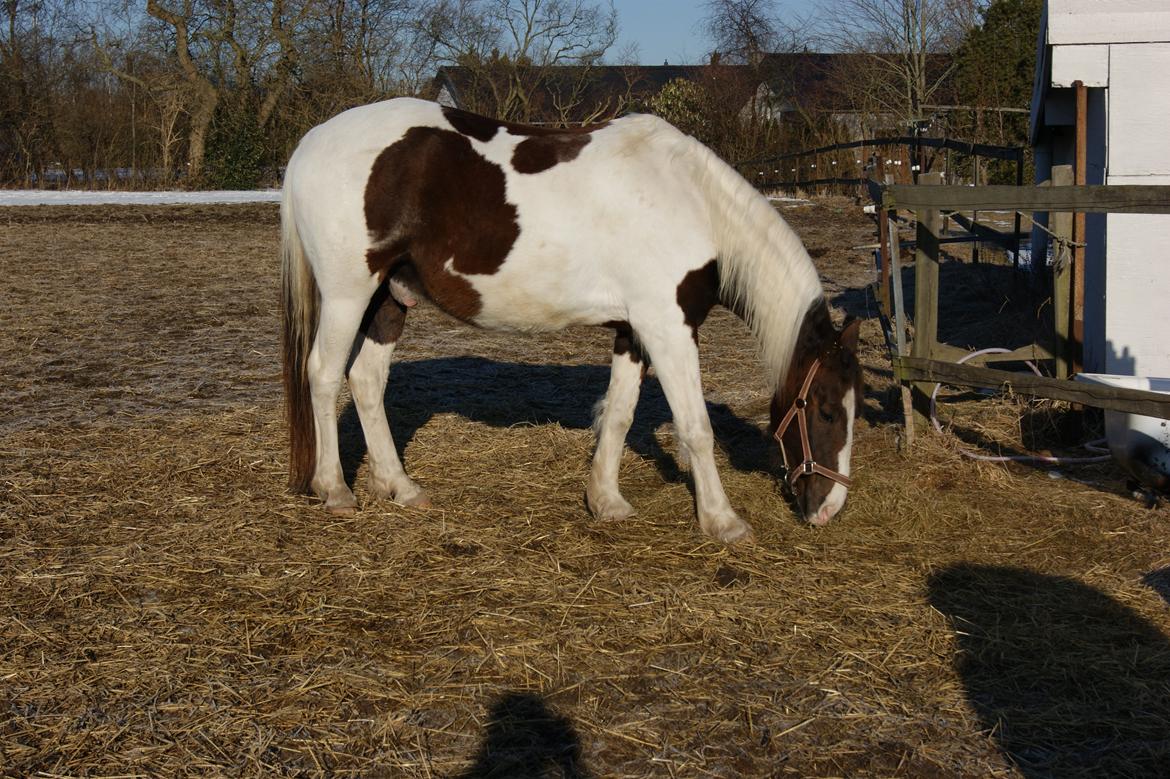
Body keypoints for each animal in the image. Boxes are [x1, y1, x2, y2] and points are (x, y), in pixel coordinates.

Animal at [279, 97, 865, 538]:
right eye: (826, 410)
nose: (829, 509)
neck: (694, 204)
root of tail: (310, 142)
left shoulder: (635, 330)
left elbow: (620, 414)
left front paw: (606, 501)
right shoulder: (669, 327)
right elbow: (695, 427)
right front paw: (723, 521)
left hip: (390, 298)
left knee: (366, 381)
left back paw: (400, 487)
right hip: (348, 295)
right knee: (324, 375)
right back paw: (335, 489)